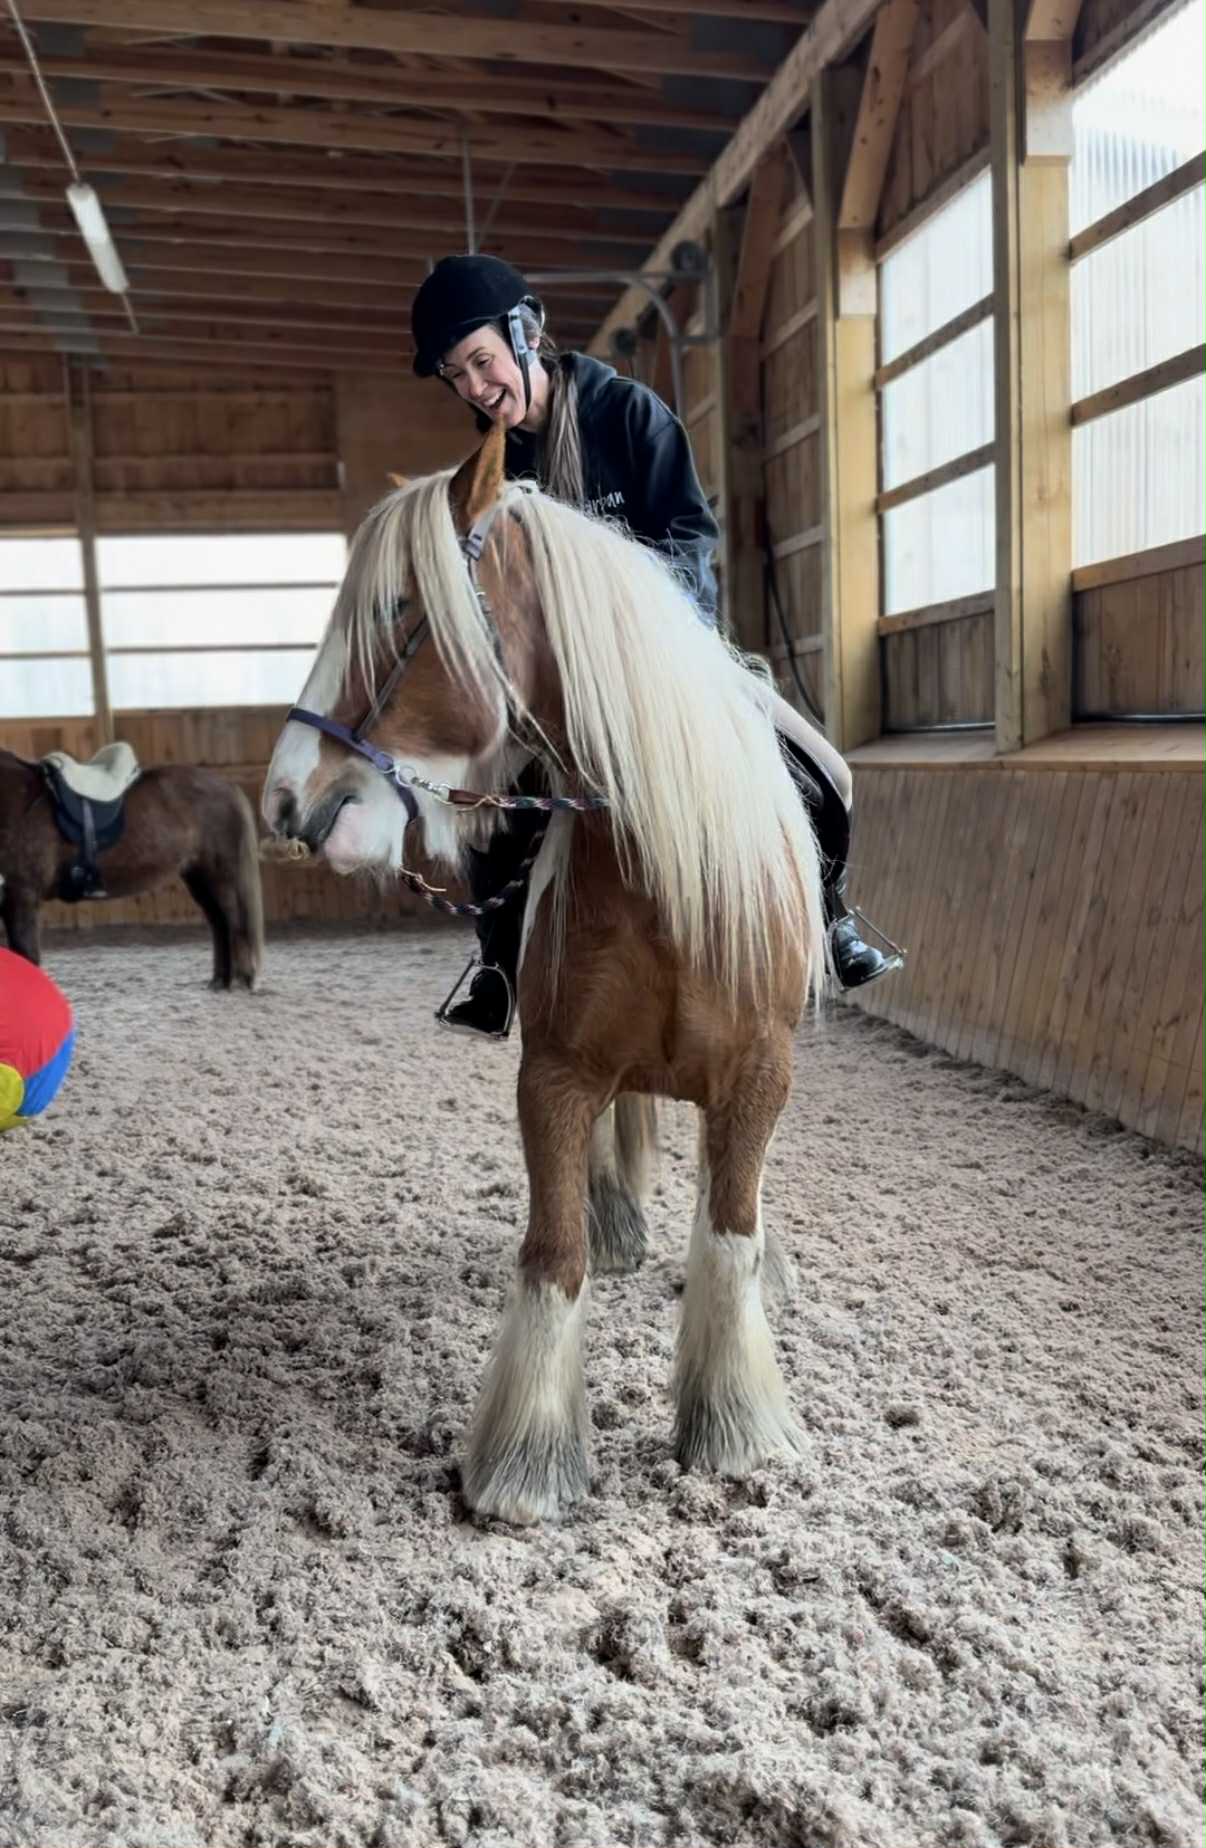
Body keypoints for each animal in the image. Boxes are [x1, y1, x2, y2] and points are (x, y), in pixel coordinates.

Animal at [0, 751, 264, 990]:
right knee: (219, 923)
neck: (17, 799)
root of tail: (227, 786)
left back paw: (240, 980)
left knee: (234, 922)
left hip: (222, 878)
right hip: (198, 878)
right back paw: (220, 981)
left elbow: (26, 954)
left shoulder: (23, 893)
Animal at [262, 424, 827, 1524]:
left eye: (399, 612)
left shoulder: (760, 1073)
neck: (665, 874)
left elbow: (729, 1228)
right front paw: (528, 1460)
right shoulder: (556, 1076)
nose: (286, 799)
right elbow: (554, 1254)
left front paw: (733, 1428)